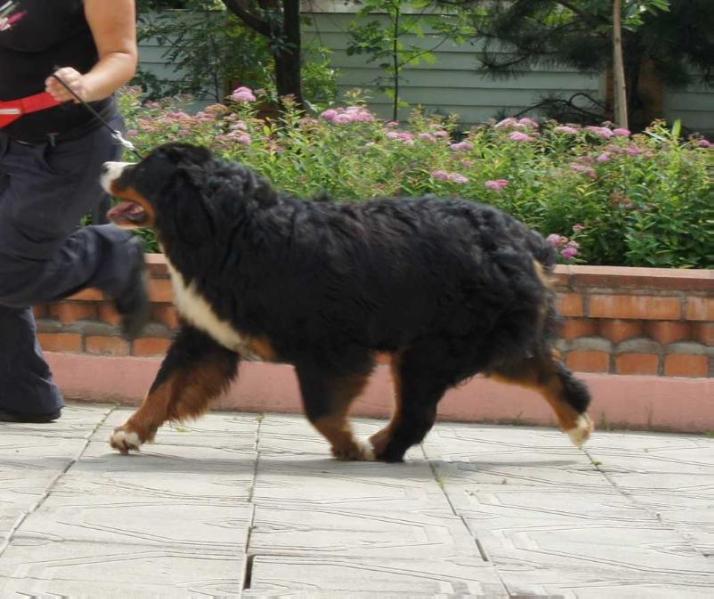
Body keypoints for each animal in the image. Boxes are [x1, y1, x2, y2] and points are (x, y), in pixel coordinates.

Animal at [98, 143, 588, 462]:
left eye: (142, 168)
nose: (105, 163)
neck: (231, 232)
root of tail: (523, 239)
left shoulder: (328, 345)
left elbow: (320, 410)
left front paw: (348, 445)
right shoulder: (207, 332)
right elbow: (165, 386)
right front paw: (130, 432)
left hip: (434, 347)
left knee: (418, 411)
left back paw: (381, 446)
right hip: (484, 340)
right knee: (549, 374)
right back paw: (578, 422)